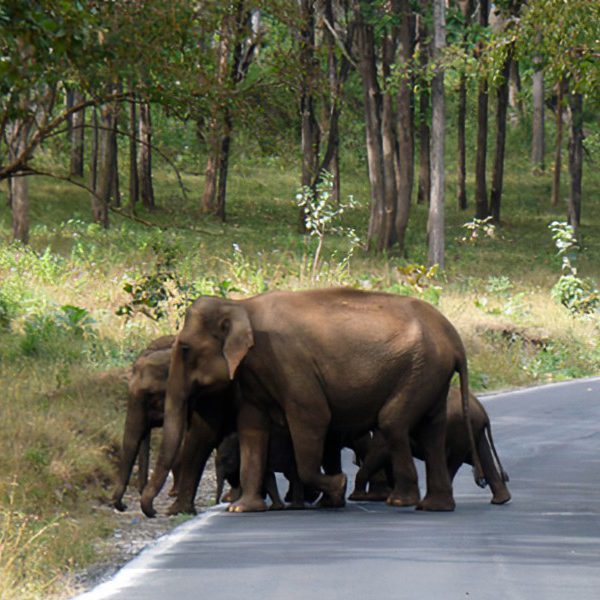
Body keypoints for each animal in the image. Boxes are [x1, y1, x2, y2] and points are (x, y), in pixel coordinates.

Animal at [139, 286, 482, 516]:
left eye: (184, 349)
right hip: (431, 375)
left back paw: (401, 501)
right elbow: (252, 427)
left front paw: (338, 485)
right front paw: (244, 508)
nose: (153, 512)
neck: (241, 307)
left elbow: (313, 418)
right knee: (432, 431)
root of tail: (455, 339)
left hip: (420, 370)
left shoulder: (289, 363)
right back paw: (434, 506)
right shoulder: (254, 373)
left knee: (393, 421)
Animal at [346, 386, 510, 504]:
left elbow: (381, 451)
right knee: (481, 455)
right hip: (472, 430)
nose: (354, 461)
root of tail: (482, 411)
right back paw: (501, 500)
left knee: (457, 459)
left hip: (460, 429)